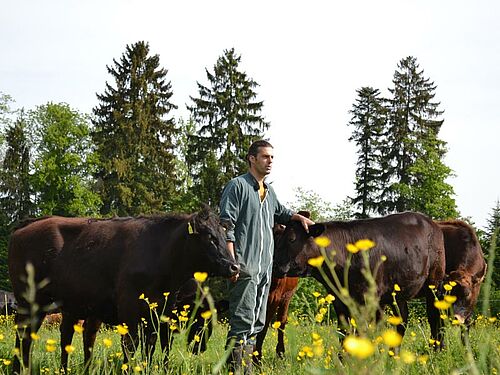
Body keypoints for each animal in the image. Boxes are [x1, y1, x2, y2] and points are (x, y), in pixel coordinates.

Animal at [8, 207, 240, 374]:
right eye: (209, 236)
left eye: (224, 234)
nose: (233, 266)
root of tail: (29, 224)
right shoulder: (129, 308)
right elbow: (131, 345)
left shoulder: (157, 312)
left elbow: (151, 346)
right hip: (30, 301)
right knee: (24, 335)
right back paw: (20, 369)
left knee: (68, 336)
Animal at [274, 213, 446, 348]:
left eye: (291, 239)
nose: (275, 265)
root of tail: (430, 222)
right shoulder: (339, 300)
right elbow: (344, 333)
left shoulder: (366, 299)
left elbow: (362, 333)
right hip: (398, 293)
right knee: (402, 321)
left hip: (434, 284)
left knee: (435, 317)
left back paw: (438, 350)